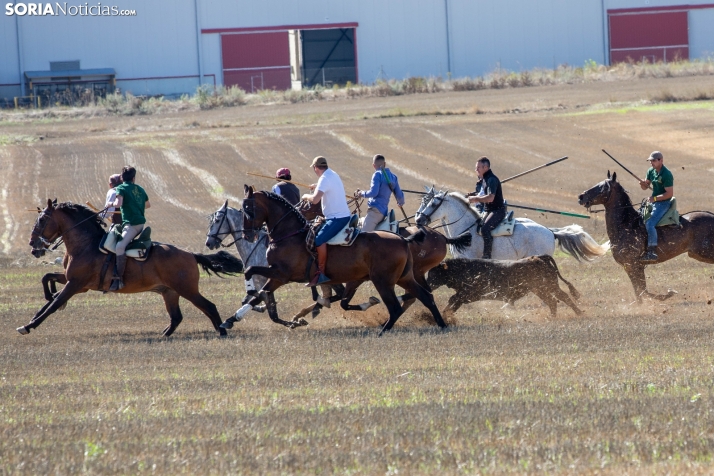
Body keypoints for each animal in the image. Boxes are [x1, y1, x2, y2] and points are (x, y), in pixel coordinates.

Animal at [18, 199, 242, 336]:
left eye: (42, 219)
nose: (32, 245)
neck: (85, 244)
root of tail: (190, 254)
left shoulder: (76, 284)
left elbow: (53, 305)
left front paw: (29, 325)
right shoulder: (74, 281)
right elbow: (47, 279)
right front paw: (48, 296)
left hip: (187, 289)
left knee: (209, 307)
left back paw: (222, 331)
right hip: (169, 292)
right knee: (176, 317)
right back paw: (164, 334)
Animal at [228, 186, 444, 334]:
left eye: (248, 208)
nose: (247, 235)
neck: (290, 234)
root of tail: (403, 239)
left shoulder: (281, 274)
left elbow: (252, 276)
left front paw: (247, 298)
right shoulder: (277, 276)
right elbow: (262, 296)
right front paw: (232, 319)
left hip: (384, 281)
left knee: (396, 307)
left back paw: (383, 331)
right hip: (405, 277)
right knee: (425, 297)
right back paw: (442, 325)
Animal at [576, 173, 714, 304]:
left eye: (603, 187)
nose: (581, 197)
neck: (626, 225)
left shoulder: (634, 264)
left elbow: (643, 291)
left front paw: (669, 293)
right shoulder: (630, 266)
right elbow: (639, 292)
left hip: (702, 252)